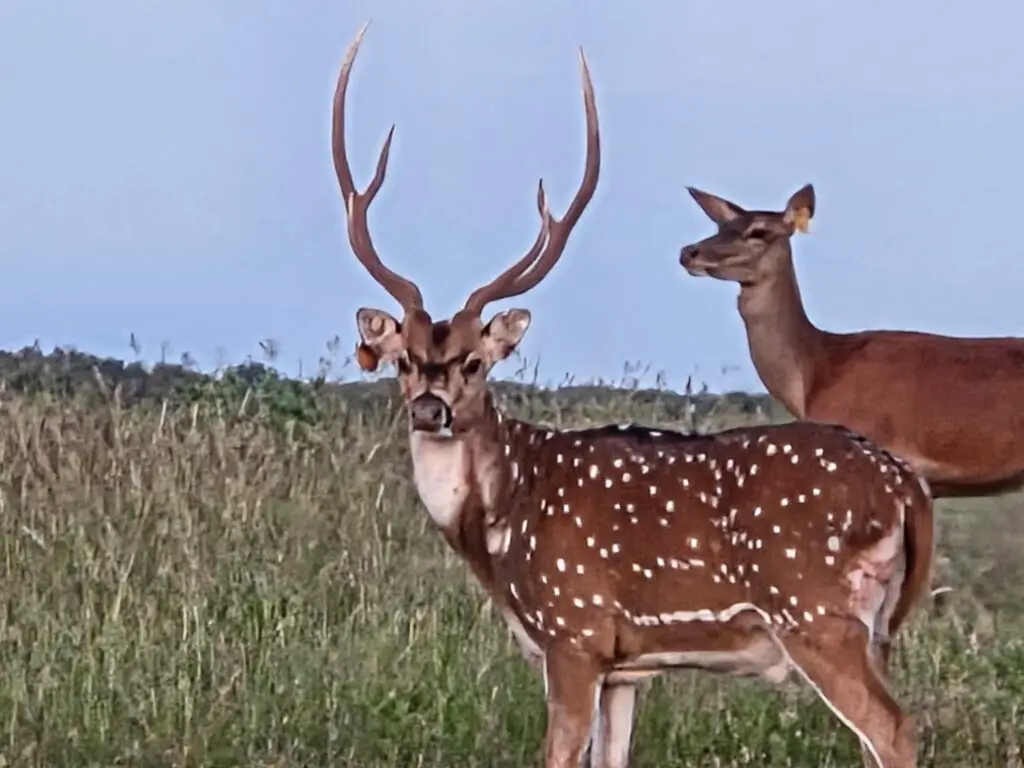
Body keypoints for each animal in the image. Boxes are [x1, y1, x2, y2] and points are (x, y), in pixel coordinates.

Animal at [332, 23, 936, 768]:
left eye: (474, 362)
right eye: (406, 362)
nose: (429, 408)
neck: (500, 528)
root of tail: (904, 486)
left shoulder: (574, 631)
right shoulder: (627, 666)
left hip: (812, 606)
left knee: (893, 727)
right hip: (872, 623)